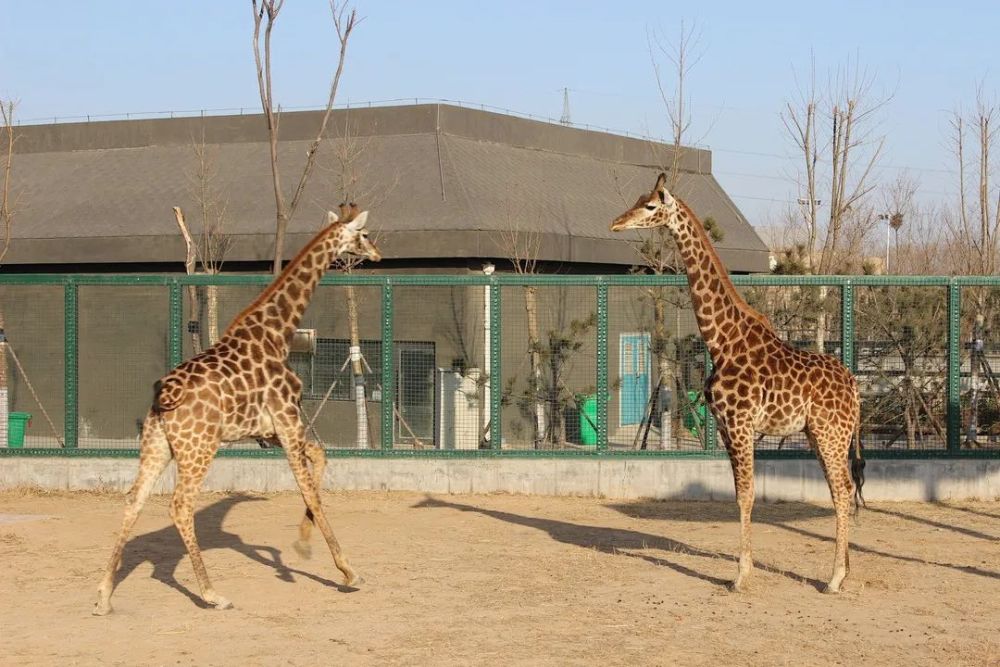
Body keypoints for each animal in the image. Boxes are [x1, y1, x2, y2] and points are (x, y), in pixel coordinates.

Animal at [93, 204, 378, 616]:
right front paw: (348, 572)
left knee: (134, 499)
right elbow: (310, 491)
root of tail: (164, 397)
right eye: (365, 234)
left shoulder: (270, 432)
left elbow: (321, 460)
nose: (378, 254)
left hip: (157, 445)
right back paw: (212, 594)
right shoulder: (287, 422)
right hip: (199, 448)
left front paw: (302, 542)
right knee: (180, 506)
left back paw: (103, 596)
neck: (279, 333)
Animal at [612, 174, 864, 596]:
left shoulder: (739, 424)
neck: (722, 341)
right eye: (636, 199)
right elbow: (738, 495)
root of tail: (856, 387)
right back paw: (843, 571)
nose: (616, 222)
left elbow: (746, 496)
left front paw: (741, 576)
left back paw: (834, 578)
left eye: (650, 206)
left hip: (831, 434)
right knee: (840, 488)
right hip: (820, 434)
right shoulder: (727, 427)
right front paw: (744, 571)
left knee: (843, 490)